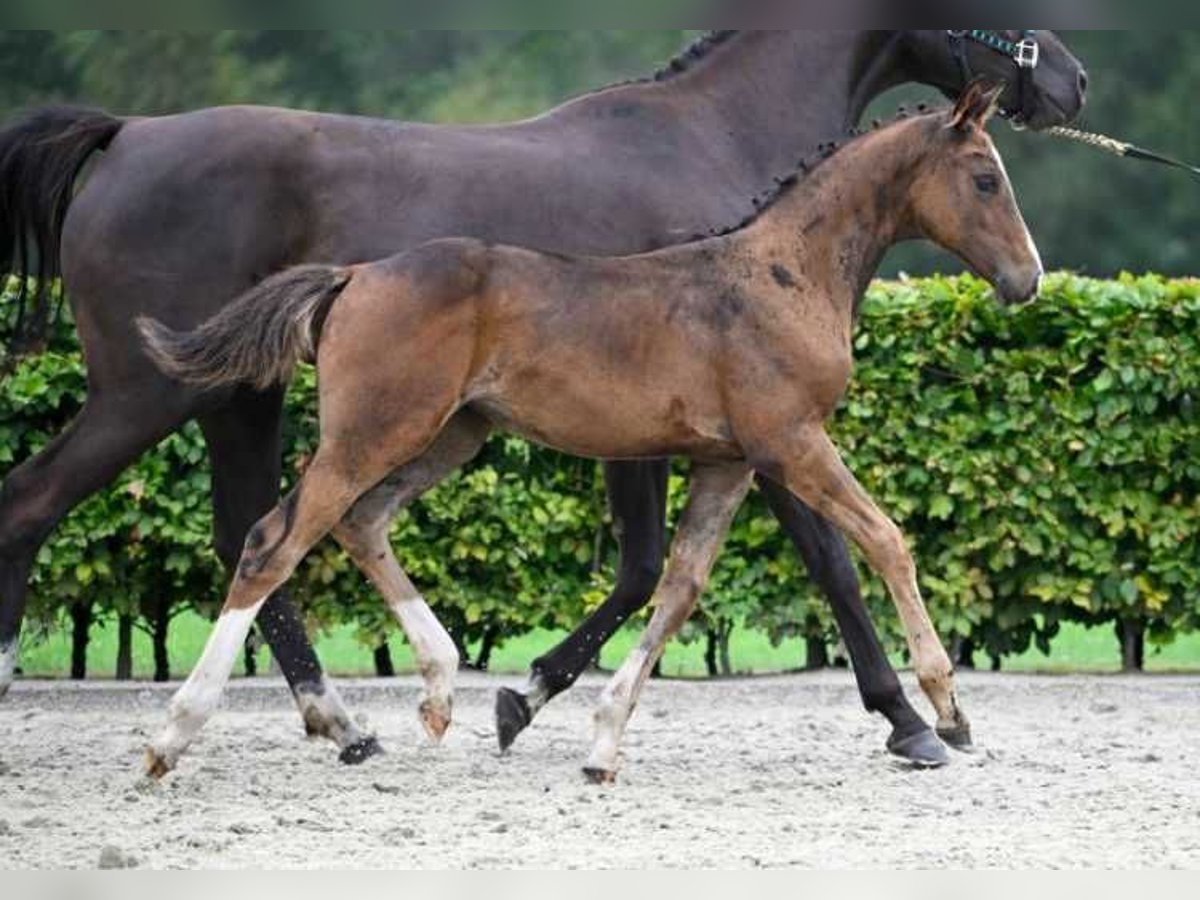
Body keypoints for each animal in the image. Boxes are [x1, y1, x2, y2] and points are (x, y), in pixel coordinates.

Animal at [0, 35, 1089, 768]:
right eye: (985, 179)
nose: (1029, 280)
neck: (777, 268)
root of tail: (352, 276)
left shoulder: (729, 459)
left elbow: (677, 582)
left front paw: (580, 724)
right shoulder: (788, 441)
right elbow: (877, 543)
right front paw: (938, 712)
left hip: (434, 432)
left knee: (343, 524)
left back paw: (427, 693)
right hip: (320, 420)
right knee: (261, 536)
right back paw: (180, 731)